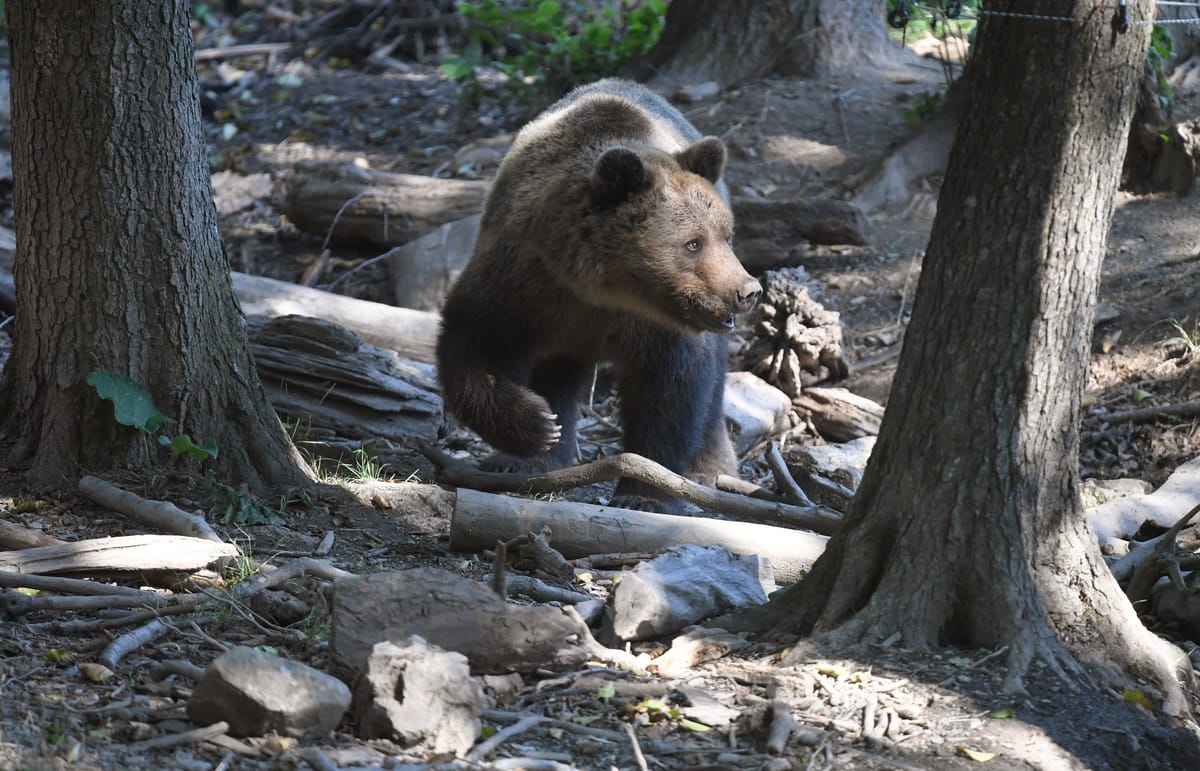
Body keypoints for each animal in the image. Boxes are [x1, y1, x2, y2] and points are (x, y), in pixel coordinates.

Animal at [439, 76, 758, 509]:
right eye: (693, 242)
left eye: (727, 234)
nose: (747, 290)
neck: (599, 287)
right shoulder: (521, 283)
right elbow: (473, 344)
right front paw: (537, 427)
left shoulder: (658, 327)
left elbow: (670, 392)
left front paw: (644, 492)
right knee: (556, 372)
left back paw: (711, 468)